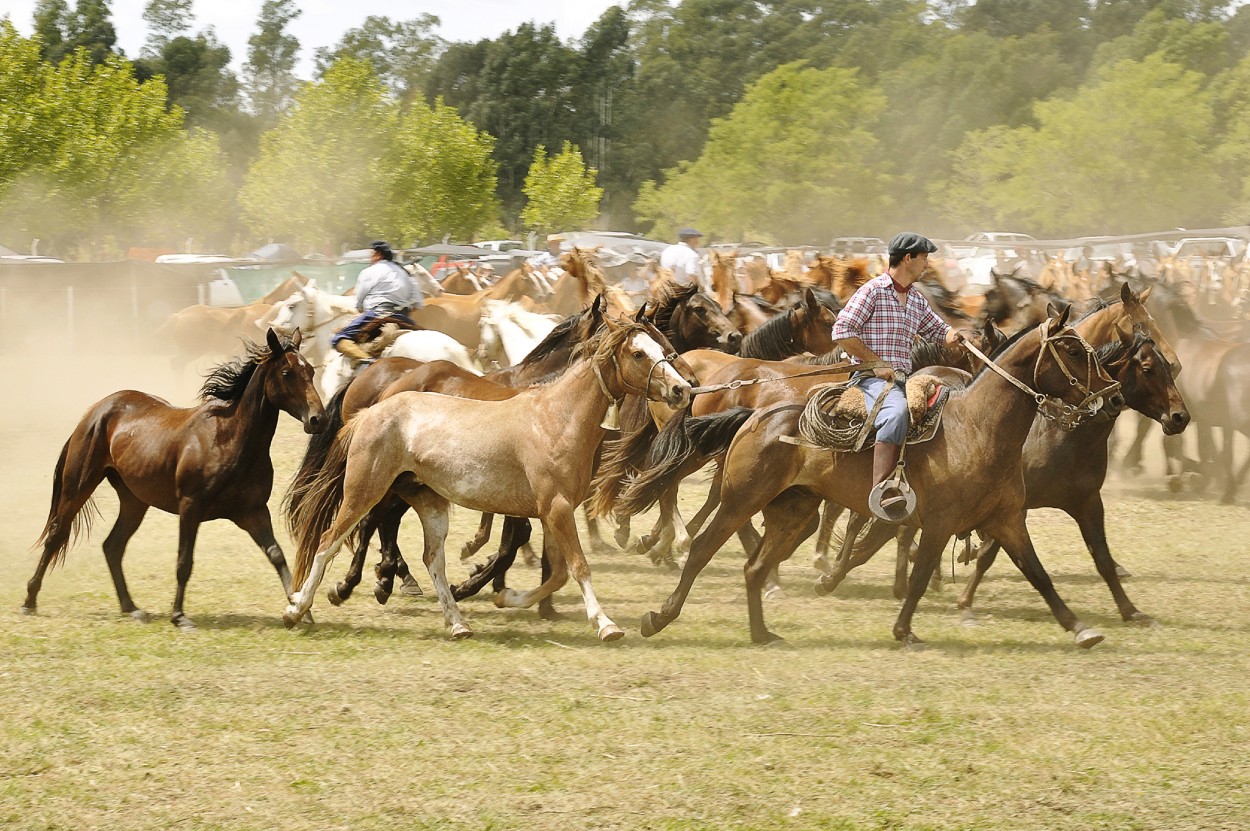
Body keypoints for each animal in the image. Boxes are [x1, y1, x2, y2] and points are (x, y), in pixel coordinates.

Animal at [22, 329, 325, 629]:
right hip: (78, 488)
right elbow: (184, 562)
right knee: (56, 534)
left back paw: (131, 608)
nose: (317, 419)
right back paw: (29, 601)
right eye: (287, 373)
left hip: (134, 501)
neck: (229, 439)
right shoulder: (190, 508)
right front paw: (179, 616)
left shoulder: (253, 512)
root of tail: (96, 411)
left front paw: (299, 610)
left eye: (310, 371)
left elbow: (277, 555)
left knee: (112, 546)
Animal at [283, 317, 695, 639]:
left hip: (429, 503)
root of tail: (371, 410)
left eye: (662, 345)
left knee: (432, 559)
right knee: (329, 541)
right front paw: (606, 625)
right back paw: (299, 607)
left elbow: (556, 573)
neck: (556, 419)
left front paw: (508, 597)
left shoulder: (550, 512)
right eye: (639, 353)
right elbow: (576, 566)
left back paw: (457, 623)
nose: (683, 389)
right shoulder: (556, 509)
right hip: (364, 491)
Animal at [610, 306, 1130, 649]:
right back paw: (660, 614)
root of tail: (755, 416)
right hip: (742, 497)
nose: (1112, 393)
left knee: (755, 568)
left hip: (795, 511)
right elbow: (918, 576)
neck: (979, 428)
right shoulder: (938, 523)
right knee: (702, 548)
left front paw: (1081, 627)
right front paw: (904, 629)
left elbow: (1039, 574)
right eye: (1070, 349)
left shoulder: (1007, 520)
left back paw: (762, 633)